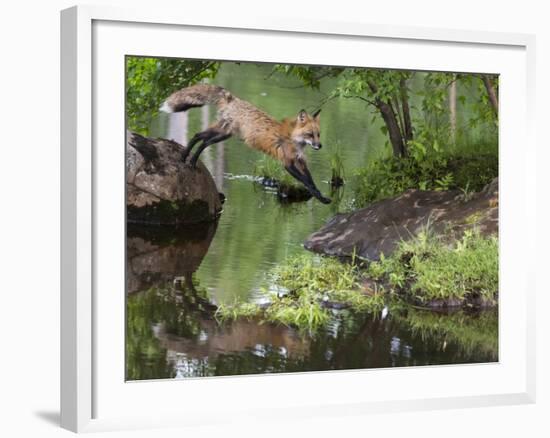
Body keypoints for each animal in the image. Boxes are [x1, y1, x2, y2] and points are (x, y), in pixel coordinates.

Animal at [160, 83, 332, 204]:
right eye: (310, 134)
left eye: (318, 134)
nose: (319, 146)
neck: (294, 141)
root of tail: (233, 98)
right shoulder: (287, 163)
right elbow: (305, 182)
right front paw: (319, 197)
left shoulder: (300, 161)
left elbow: (311, 181)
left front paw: (322, 197)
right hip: (223, 134)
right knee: (201, 139)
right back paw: (188, 157)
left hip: (223, 134)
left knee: (201, 138)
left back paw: (189, 158)